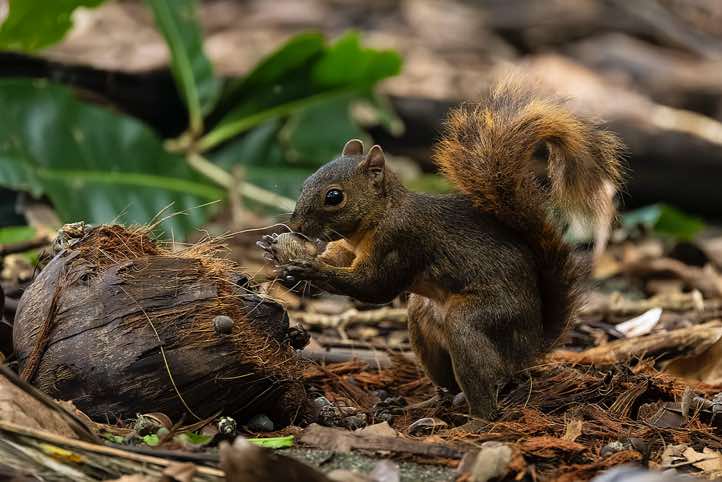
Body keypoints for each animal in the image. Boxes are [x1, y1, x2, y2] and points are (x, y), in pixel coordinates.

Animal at [259, 77, 624, 420]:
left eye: (334, 196)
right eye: (305, 182)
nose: (297, 226)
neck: (378, 217)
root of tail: (531, 347)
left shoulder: (401, 240)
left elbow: (374, 286)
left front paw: (309, 268)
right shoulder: (351, 248)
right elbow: (339, 258)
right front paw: (279, 253)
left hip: (478, 322)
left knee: (485, 385)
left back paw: (475, 422)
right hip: (423, 321)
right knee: (451, 381)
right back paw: (428, 405)